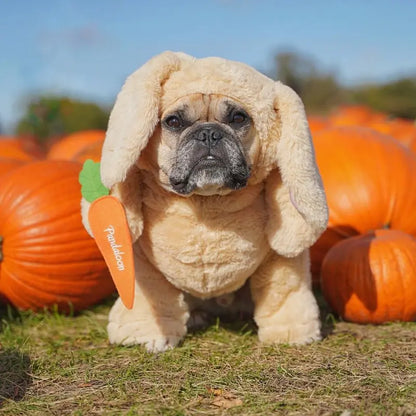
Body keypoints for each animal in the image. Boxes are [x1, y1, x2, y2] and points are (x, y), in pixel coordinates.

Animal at [82, 50, 328, 352]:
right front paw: (147, 334)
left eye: (238, 118)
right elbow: (152, 299)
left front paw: (290, 334)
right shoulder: (143, 265)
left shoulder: (280, 261)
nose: (209, 132)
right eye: (173, 122)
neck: (206, 201)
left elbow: (284, 293)